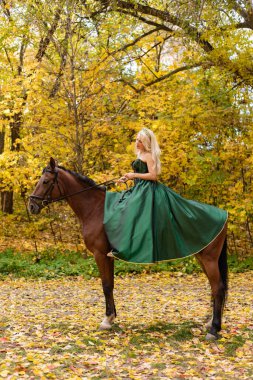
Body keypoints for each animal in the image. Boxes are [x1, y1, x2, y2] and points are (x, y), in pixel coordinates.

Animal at [28, 157, 228, 342]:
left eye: (45, 181)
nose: (31, 206)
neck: (95, 209)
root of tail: (223, 215)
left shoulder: (100, 255)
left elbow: (106, 285)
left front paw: (106, 320)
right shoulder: (108, 256)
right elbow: (110, 285)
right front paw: (111, 318)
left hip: (209, 259)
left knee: (217, 287)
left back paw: (214, 330)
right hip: (201, 257)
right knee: (214, 288)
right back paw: (209, 323)